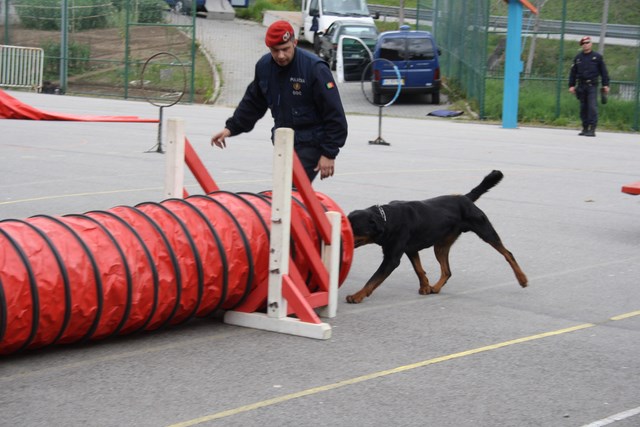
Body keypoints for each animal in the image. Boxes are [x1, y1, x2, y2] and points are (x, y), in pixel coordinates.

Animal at [348, 171, 528, 304]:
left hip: (485, 230)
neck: (387, 219)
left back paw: (522, 279)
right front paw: (426, 286)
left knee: (507, 253)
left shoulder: (392, 259)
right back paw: (436, 287)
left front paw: (357, 295)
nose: (344, 236)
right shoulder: (411, 249)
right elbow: (419, 269)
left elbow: (373, 279)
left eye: (354, 228)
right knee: (447, 271)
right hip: (441, 245)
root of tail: (465, 198)